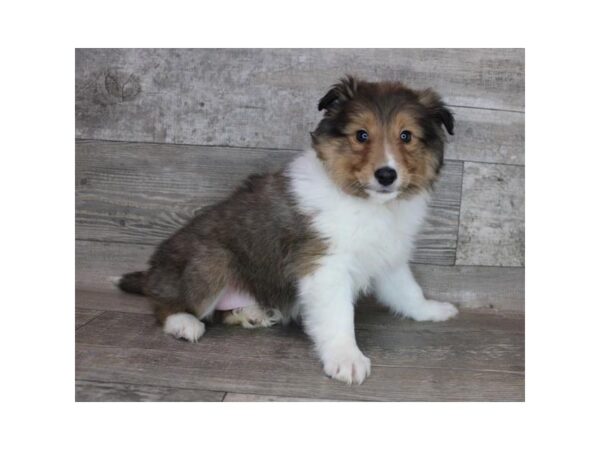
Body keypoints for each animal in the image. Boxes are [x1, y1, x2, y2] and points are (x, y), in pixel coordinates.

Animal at [116, 76, 454, 384]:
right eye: (361, 135)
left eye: (406, 136)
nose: (386, 175)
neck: (369, 203)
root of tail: (153, 273)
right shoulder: (324, 266)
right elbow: (339, 317)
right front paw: (347, 359)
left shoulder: (389, 256)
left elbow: (408, 291)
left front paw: (432, 310)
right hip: (210, 261)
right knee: (166, 305)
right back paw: (184, 323)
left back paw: (250, 313)